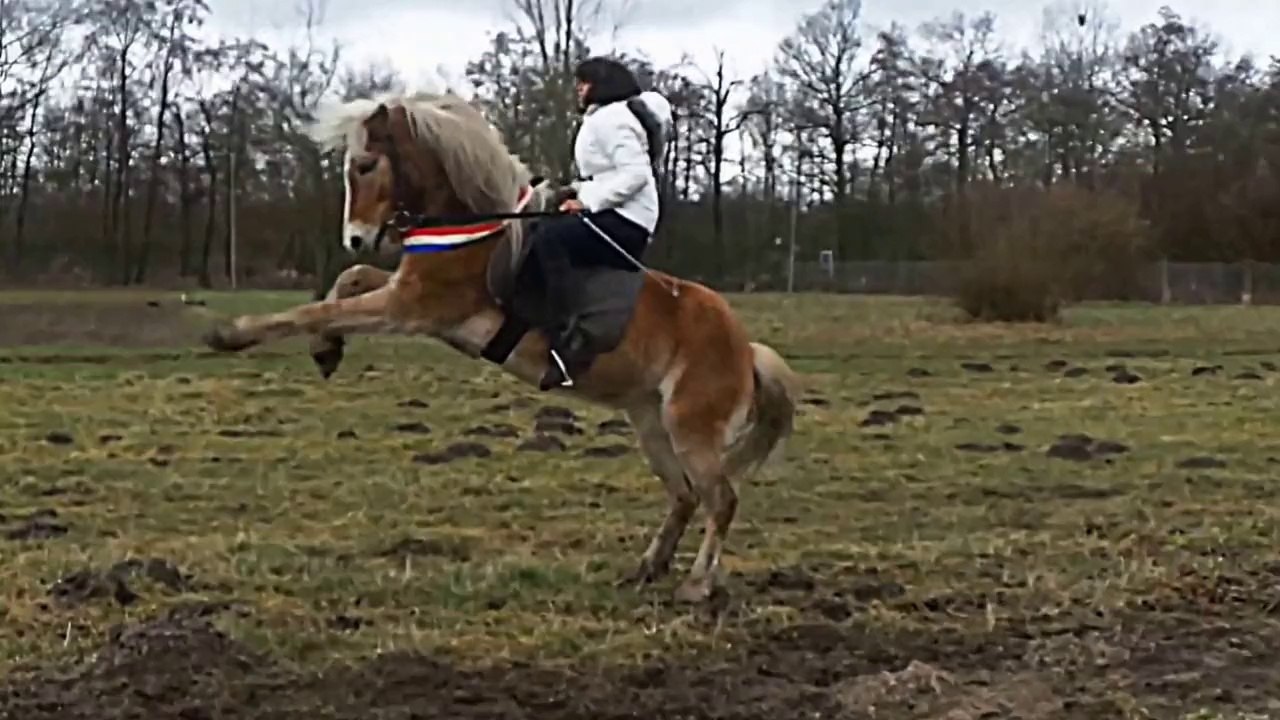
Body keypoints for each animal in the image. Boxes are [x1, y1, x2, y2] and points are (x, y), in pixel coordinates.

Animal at [201, 90, 800, 603]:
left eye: (367, 165)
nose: (356, 236)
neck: (475, 228)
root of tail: (744, 347)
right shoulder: (407, 295)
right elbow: (347, 283)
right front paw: (326, 348)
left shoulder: (413, 307)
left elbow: (313, 309)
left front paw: (233, 334)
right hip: (651, 423)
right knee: (685, 495)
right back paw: (647, 567)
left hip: (690, 429)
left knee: (721, 499)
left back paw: (697, 585)